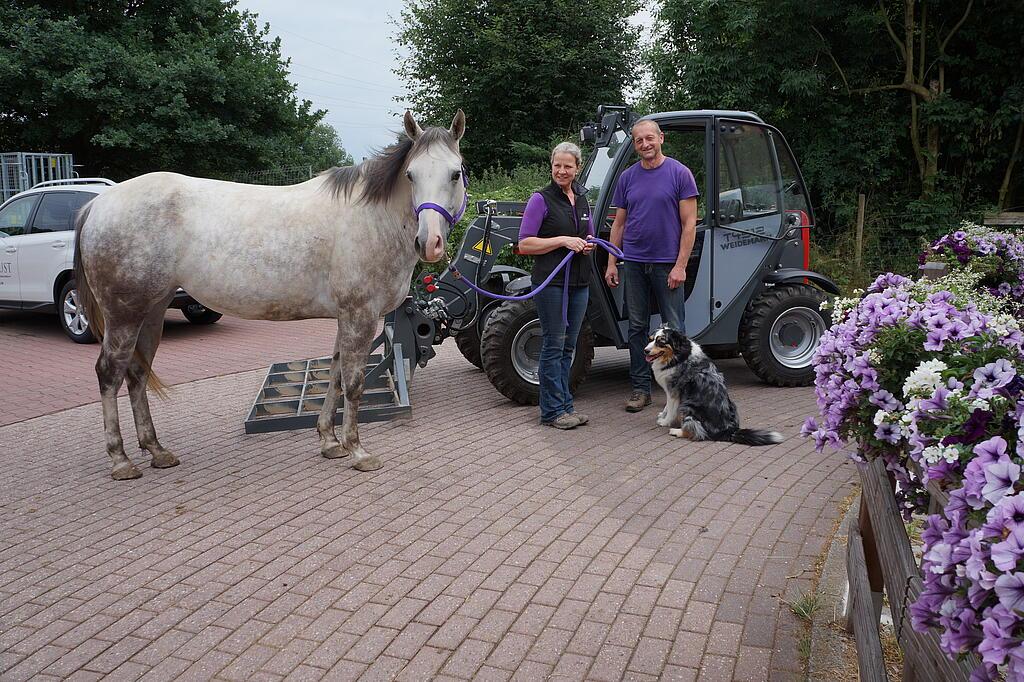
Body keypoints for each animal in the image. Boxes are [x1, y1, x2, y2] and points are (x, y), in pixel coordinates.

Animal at [74, 110, 466, 477]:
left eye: (455, 174)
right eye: (411, 175)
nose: (429, 242)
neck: (370, 218)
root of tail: (97, 204)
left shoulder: (345, 316)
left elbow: (336, 374)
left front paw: (329, 441)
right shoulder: (360, 314)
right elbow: (353, 382)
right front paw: (357, 450)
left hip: (151, 312)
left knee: (137, 375)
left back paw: (156, 450)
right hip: (124, 314)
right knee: (109, 373)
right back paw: (121, 460)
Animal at [643, 325, 778, 446]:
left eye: (661, 342)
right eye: (650, 339)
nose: (645, 350)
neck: (678, 355)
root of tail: (729, 431)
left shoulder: (674, 390)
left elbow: (671, 409)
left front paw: (665, 422)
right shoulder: (670, 390)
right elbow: (667, 407)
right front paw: (663, 414)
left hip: (687, 406)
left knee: (698, 433)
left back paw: (677, 431)